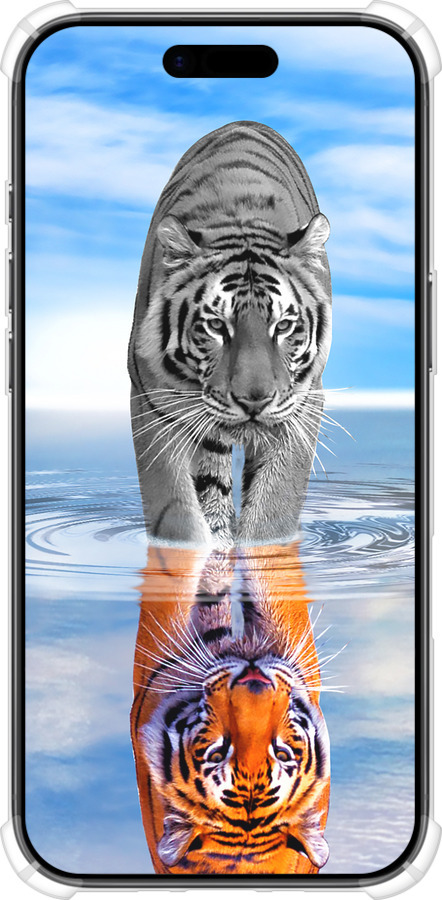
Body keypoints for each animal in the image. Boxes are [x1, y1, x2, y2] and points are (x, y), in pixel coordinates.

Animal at [128, 121, 332, 549]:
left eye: (283, 326)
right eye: (216, 326)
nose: (254, 401)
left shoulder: (303, 404)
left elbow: (274, 509)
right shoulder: (152, 401)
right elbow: (176, 512)